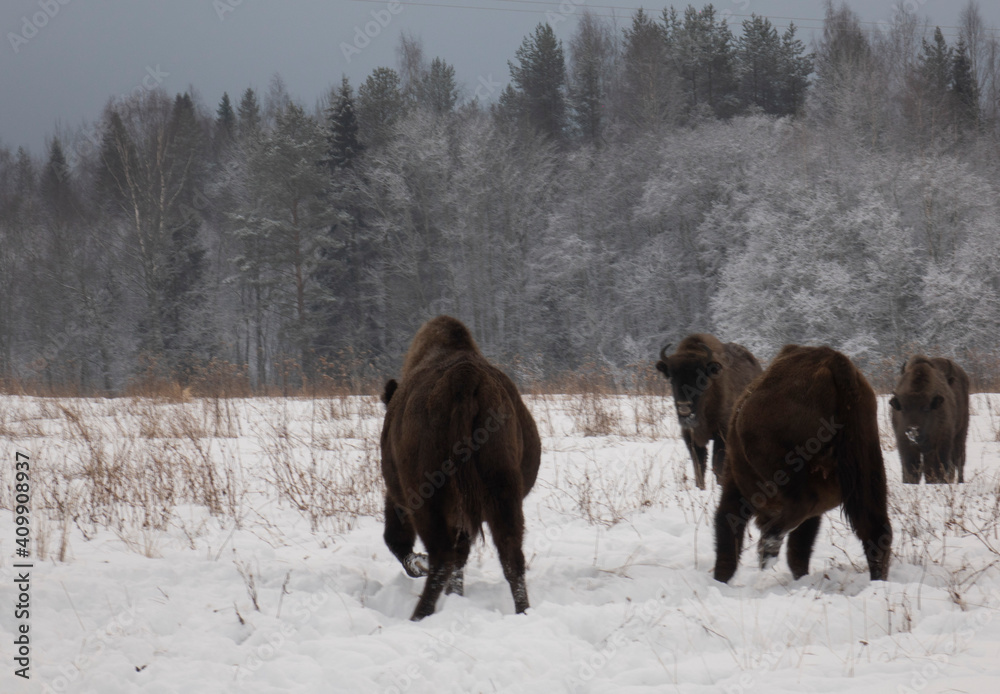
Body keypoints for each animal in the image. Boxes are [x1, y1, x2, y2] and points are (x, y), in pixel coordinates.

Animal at [379, 316, 541, 620]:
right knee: (510, 553)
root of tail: (465, 377)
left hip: (430, 497)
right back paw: (523, 611)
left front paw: (419, 565)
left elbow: (395, 539)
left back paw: (419, 615)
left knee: (442, 554)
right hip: (503, 489)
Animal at [656, 334, 763, 489]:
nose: (684, 406)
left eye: (701, 378)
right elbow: (699, 464)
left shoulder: (721, 434)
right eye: (671, 378)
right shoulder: (690, 436)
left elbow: (717, 464)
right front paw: (700, 487)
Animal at [713, 345, 892, 583]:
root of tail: (834, 362)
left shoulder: (736, 484)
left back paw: (767, 548)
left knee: (801, 503)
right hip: (866, 454)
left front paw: (721, 576)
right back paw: (878, 579)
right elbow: (800, 545)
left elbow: (727, 523)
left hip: (776, 459)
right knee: (875, 527)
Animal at [890, 356, 970, 484]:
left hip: (961, 432)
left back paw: (959, 481)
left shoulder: (941, 442)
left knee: (958, 459)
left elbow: (938, 467)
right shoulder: (904, 442)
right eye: (903, 408)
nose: (913, 430)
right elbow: (911, 468)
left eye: (926, 408)